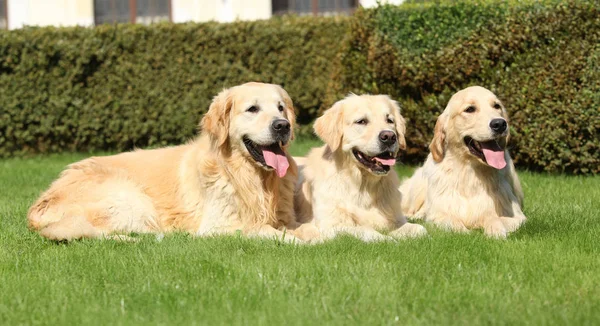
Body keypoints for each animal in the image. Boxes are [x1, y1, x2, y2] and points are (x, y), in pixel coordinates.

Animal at [27, 83, 314, 242]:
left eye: (280, 107)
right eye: (252, 109)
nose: (283, 126)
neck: (248, 177)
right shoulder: (221, 225)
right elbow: (266, 230)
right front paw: (298, 241)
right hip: (131, 199)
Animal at [294, 94, 426, 242]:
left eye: (389, 120)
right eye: (361, 121)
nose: (389, 136)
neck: (362, 186)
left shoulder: (398, 219)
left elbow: (420, 229)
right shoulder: (330, 225)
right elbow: (366, 230)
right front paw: (388, 239)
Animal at [404, 84, 524, 237]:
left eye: (497, 106)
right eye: (470, 109)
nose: (500, 124)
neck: (470, 172)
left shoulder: (518, 216)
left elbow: (494, 217)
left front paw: (495, 231)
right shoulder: (439, 213)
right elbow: (451, 221)